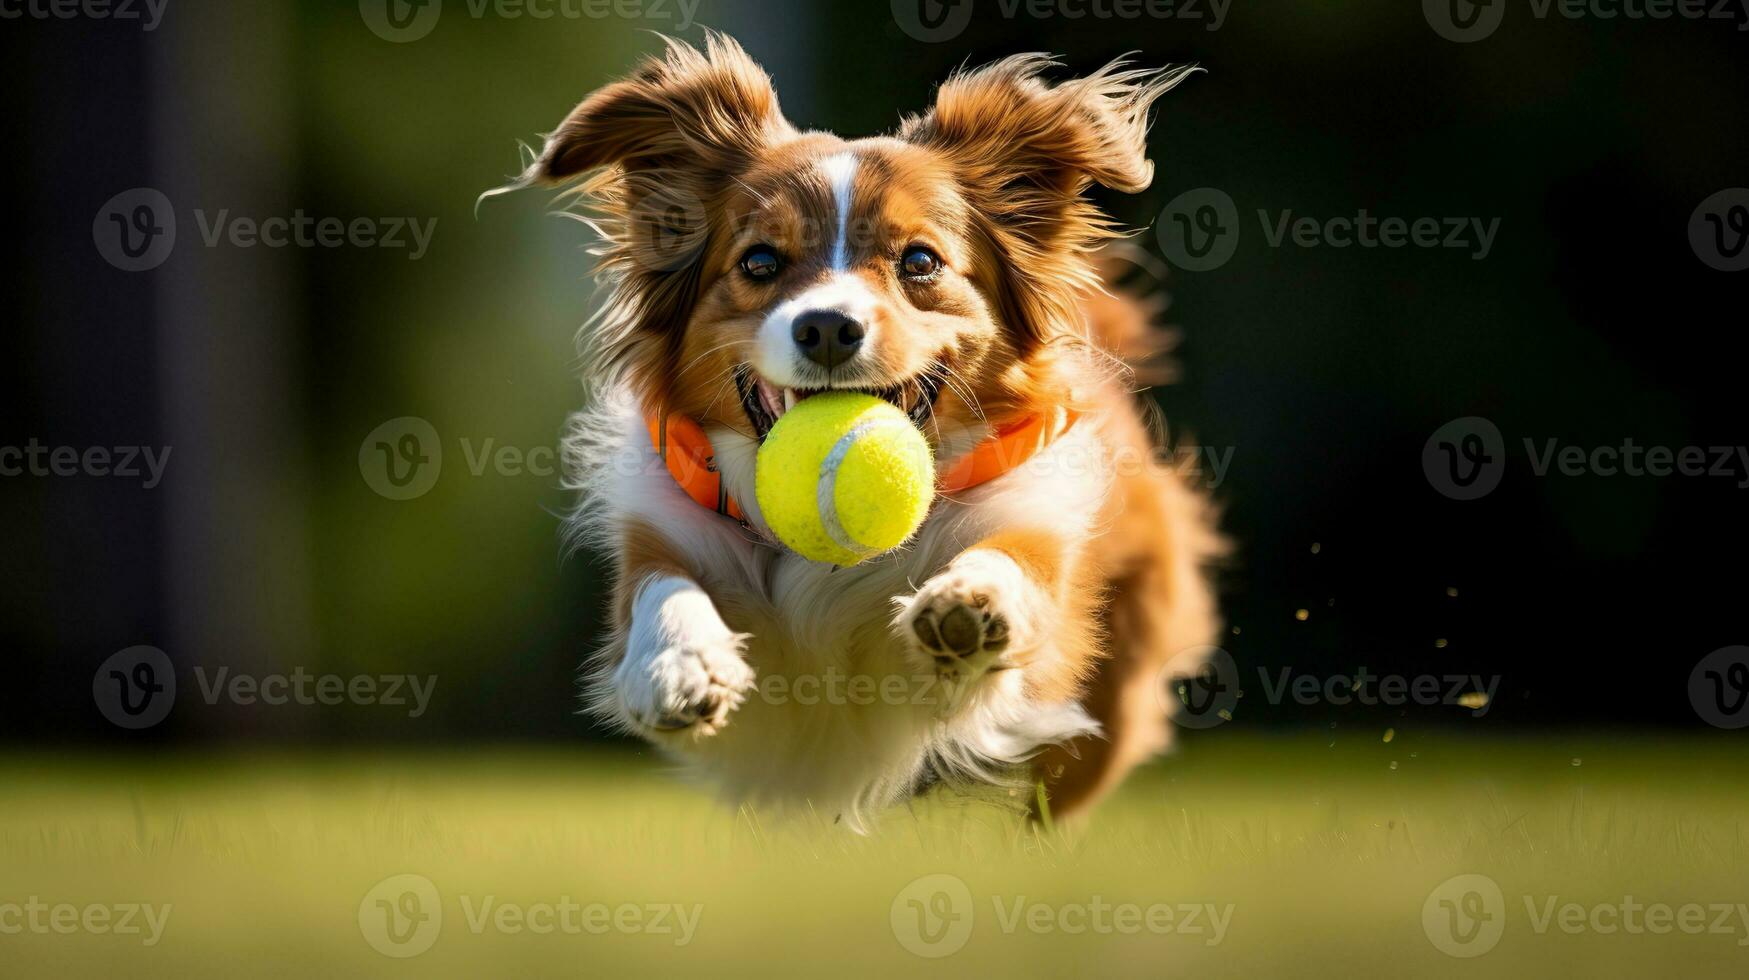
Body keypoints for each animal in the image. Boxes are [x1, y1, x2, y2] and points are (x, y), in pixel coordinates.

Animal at [493, 34, 1224, 826]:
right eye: (759, 260)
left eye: (920, 261)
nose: (826, 326)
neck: (829, 561)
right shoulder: (664, 533)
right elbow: (661, 588)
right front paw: (678, 662)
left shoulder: (1033, 540)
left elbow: (1015, 566)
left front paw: (972, 602)